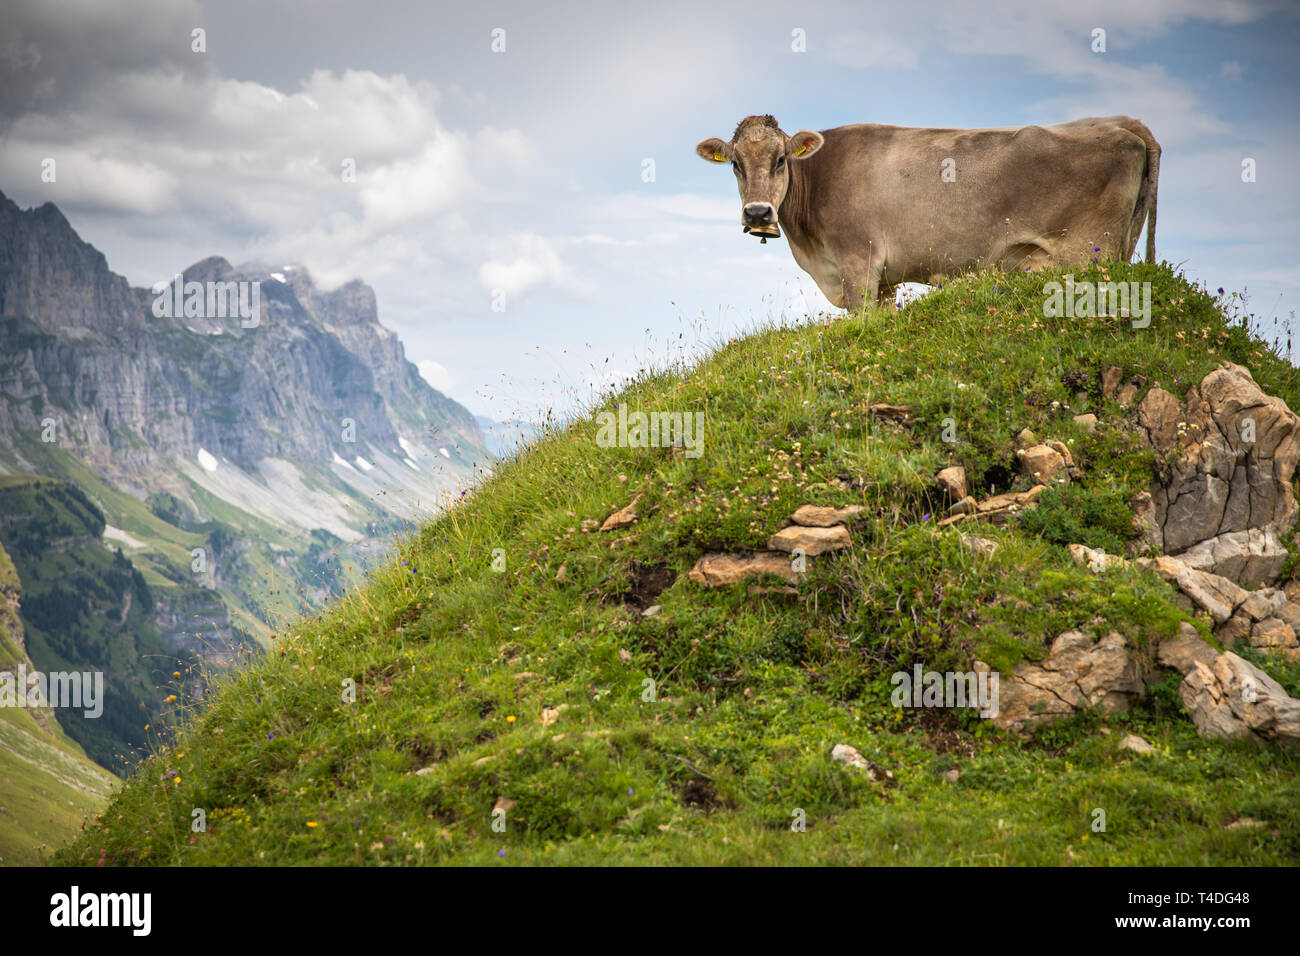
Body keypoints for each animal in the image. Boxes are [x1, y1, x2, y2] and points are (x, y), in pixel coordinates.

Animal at [695, 115, 1160, 309]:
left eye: (780, 160)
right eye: (735, 164)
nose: (758, 214)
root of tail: (1122, 124)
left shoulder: (858, 264)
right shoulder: (883, 280)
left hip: (1091, 252)